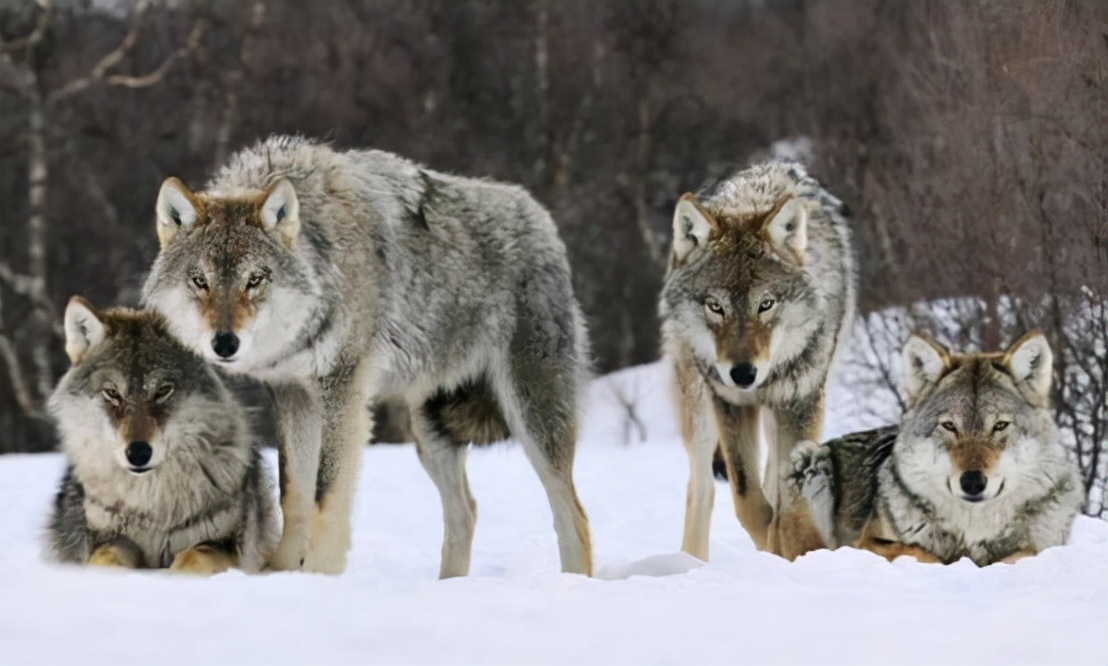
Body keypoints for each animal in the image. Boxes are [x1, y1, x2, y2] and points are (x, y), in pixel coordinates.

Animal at [48, 296, 277, 571]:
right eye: (112, 393)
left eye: (163, 391)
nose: (138, 453)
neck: (152, 509)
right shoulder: (109, 539)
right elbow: (106, 558)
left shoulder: (225, 546)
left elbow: (192, 558)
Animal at [145, 135, 598, 576]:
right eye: (200, 281)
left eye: (254, 280)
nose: (225, 344)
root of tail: (542, 218)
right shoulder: (293, 394)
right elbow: (293, 495)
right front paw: (283, 571)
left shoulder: (342, 390)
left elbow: (326, 496)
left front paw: (321, 576)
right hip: (430, 431)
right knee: (465, 512)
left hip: (531, 417)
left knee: (573, 516)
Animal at [655, 160, 855, 560]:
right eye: (716, 306)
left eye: (766, 304)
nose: (743, 374)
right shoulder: (729, 402)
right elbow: (748, 501)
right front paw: (774, 547)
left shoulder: (801, 401)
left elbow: (789, 506)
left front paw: (796, 551)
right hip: (699, 410)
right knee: (702, 488)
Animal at [788, 330, 1081, 562]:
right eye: (949, 426)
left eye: (1000, 426)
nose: (972, 482)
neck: (972, 534)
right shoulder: (868, 541)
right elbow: (923, 553)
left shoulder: (1043, 546)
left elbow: (1024, 552)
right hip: (811, 461)